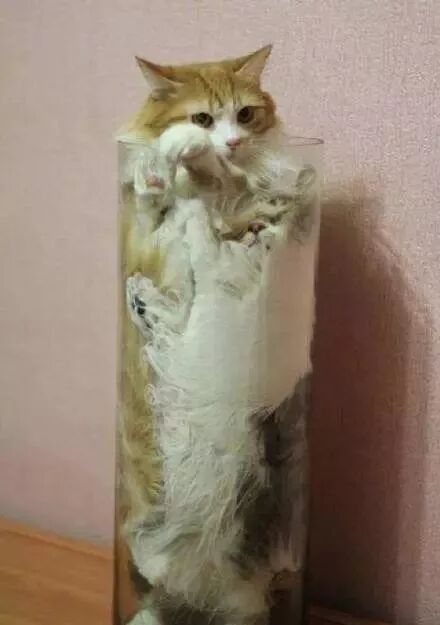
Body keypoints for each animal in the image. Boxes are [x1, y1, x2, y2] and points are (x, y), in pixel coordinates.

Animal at [115, 46, 318, 625]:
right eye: (203, 118)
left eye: (246, 115)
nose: (229, 143)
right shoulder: (157, 238)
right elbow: (165, 206)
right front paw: (170, 162)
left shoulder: (220, 281)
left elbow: (197, 229)